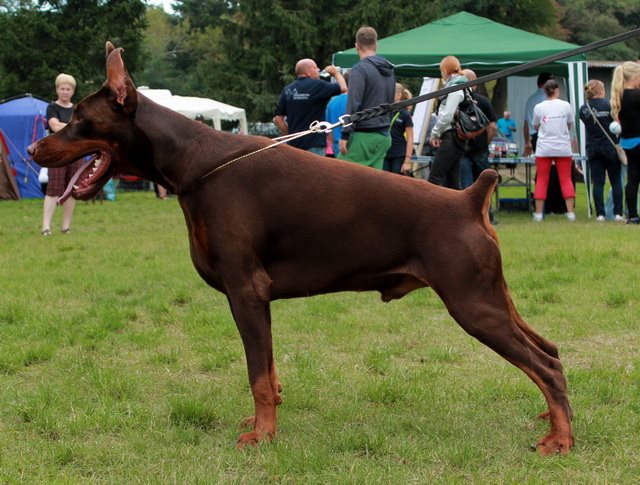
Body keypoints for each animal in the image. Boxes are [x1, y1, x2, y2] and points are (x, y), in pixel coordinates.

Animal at [27, 43, 572, 456]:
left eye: (79, 118)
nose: (33, 149)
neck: (194, 163)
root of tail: (470, 196)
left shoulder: (246, 291)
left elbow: (257, 375)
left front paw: (263, 436)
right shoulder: (253, 297)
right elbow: (267, 372)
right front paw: (263, 422)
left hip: (471, 301)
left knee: (542, 364)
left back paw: (560, 441)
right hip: (492, 295)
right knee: (549, 350)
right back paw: (549, 418)